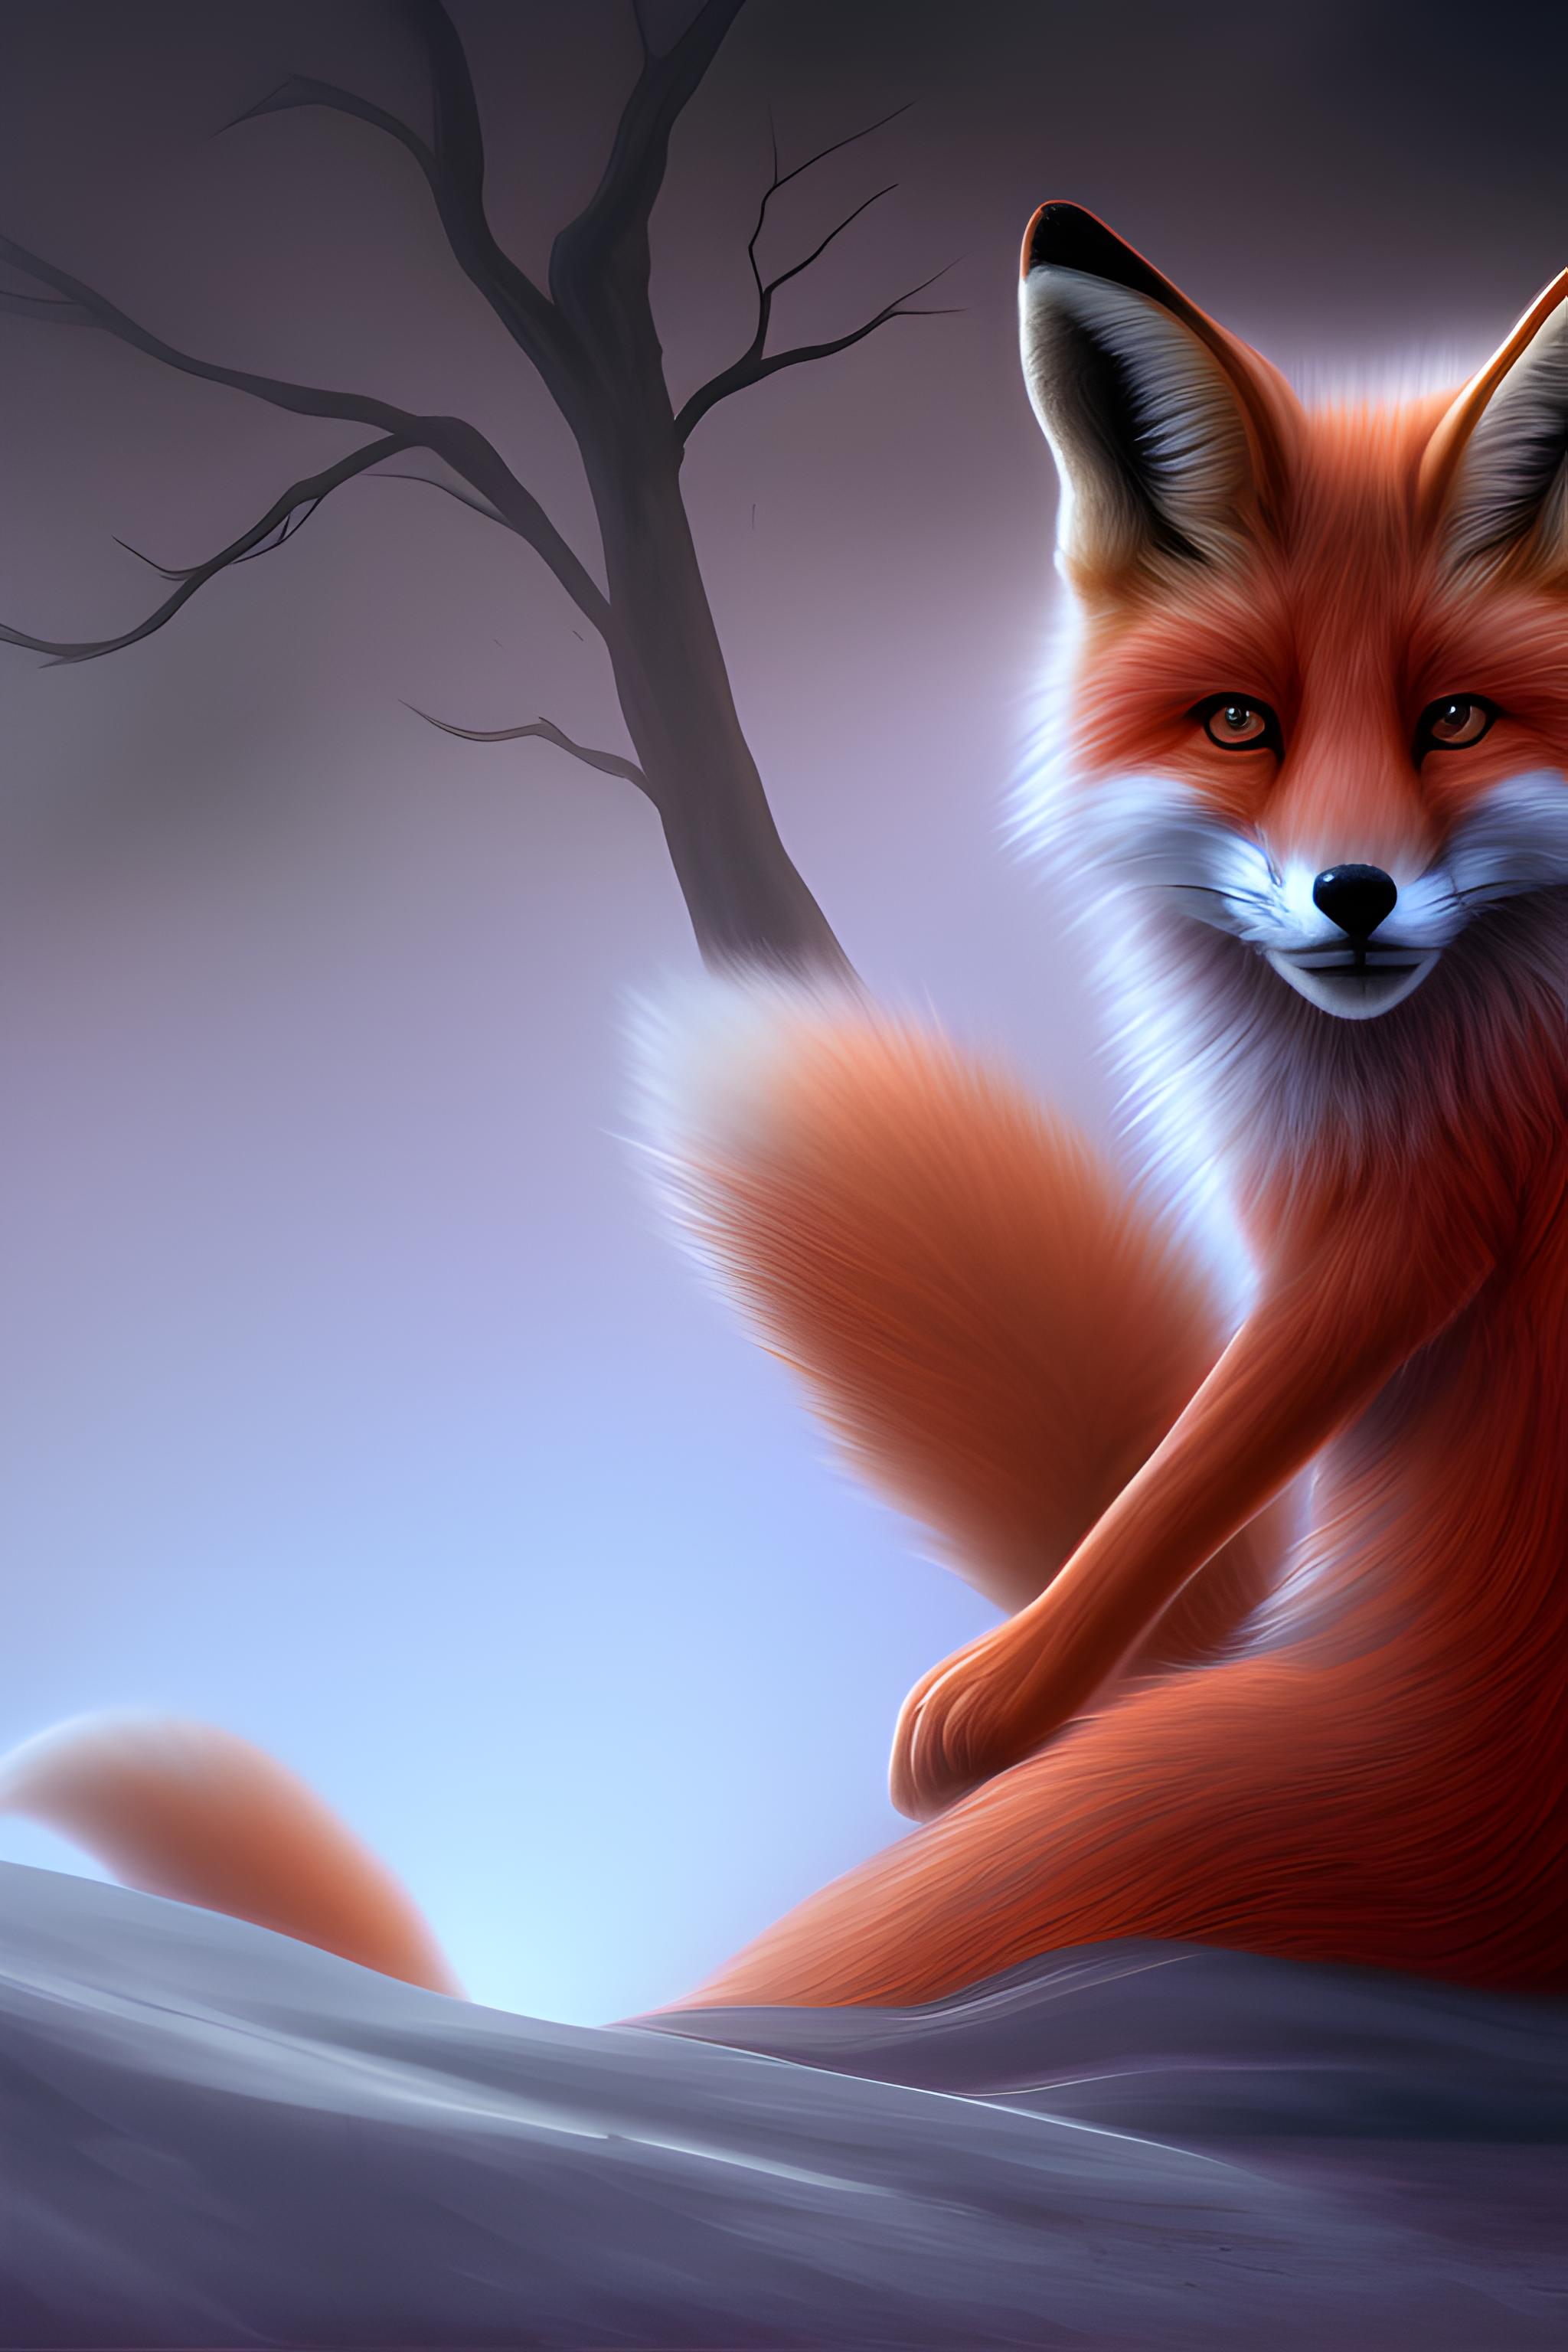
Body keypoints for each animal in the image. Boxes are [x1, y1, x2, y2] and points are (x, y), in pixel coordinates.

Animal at [5, 202, 1568, 2016]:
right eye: (1240, 720)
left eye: (1453, 718)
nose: (1352, 897)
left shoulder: (1402, 1219)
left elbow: (1182, 1469)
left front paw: (991, 1703)